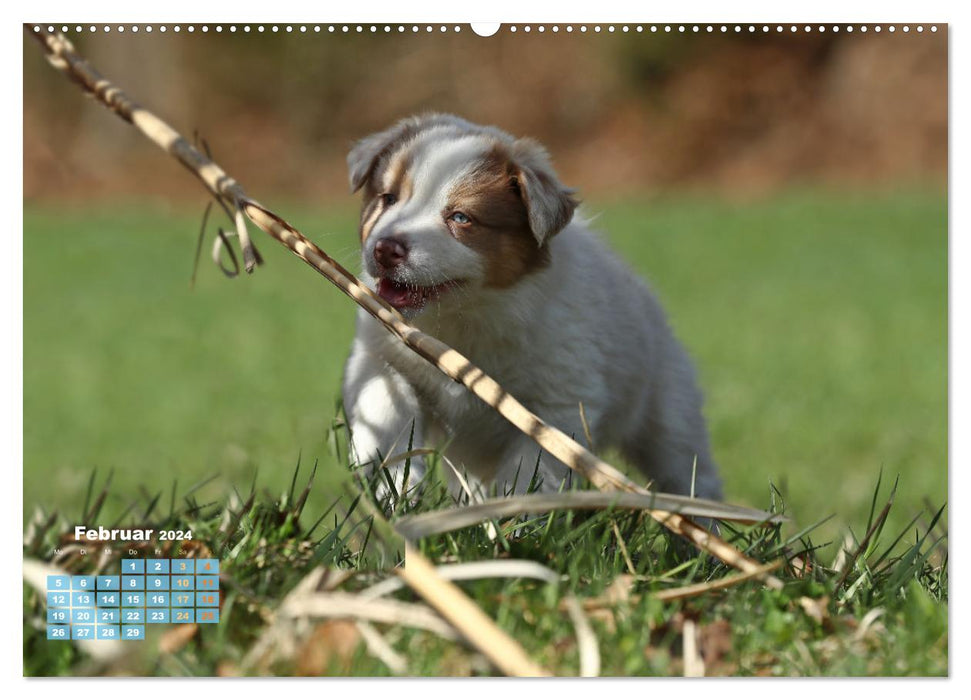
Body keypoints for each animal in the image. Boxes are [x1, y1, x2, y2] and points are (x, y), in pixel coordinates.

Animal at [342, 117, 720, 506]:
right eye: (388, 198)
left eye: (460, 217)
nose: (385, 249)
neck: (466, 314)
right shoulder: (380, 356)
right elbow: (384, 410)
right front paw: (392, 491)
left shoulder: (557, 404)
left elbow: (529, 472)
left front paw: (516, 514)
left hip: (669, 412)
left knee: (688, 471)